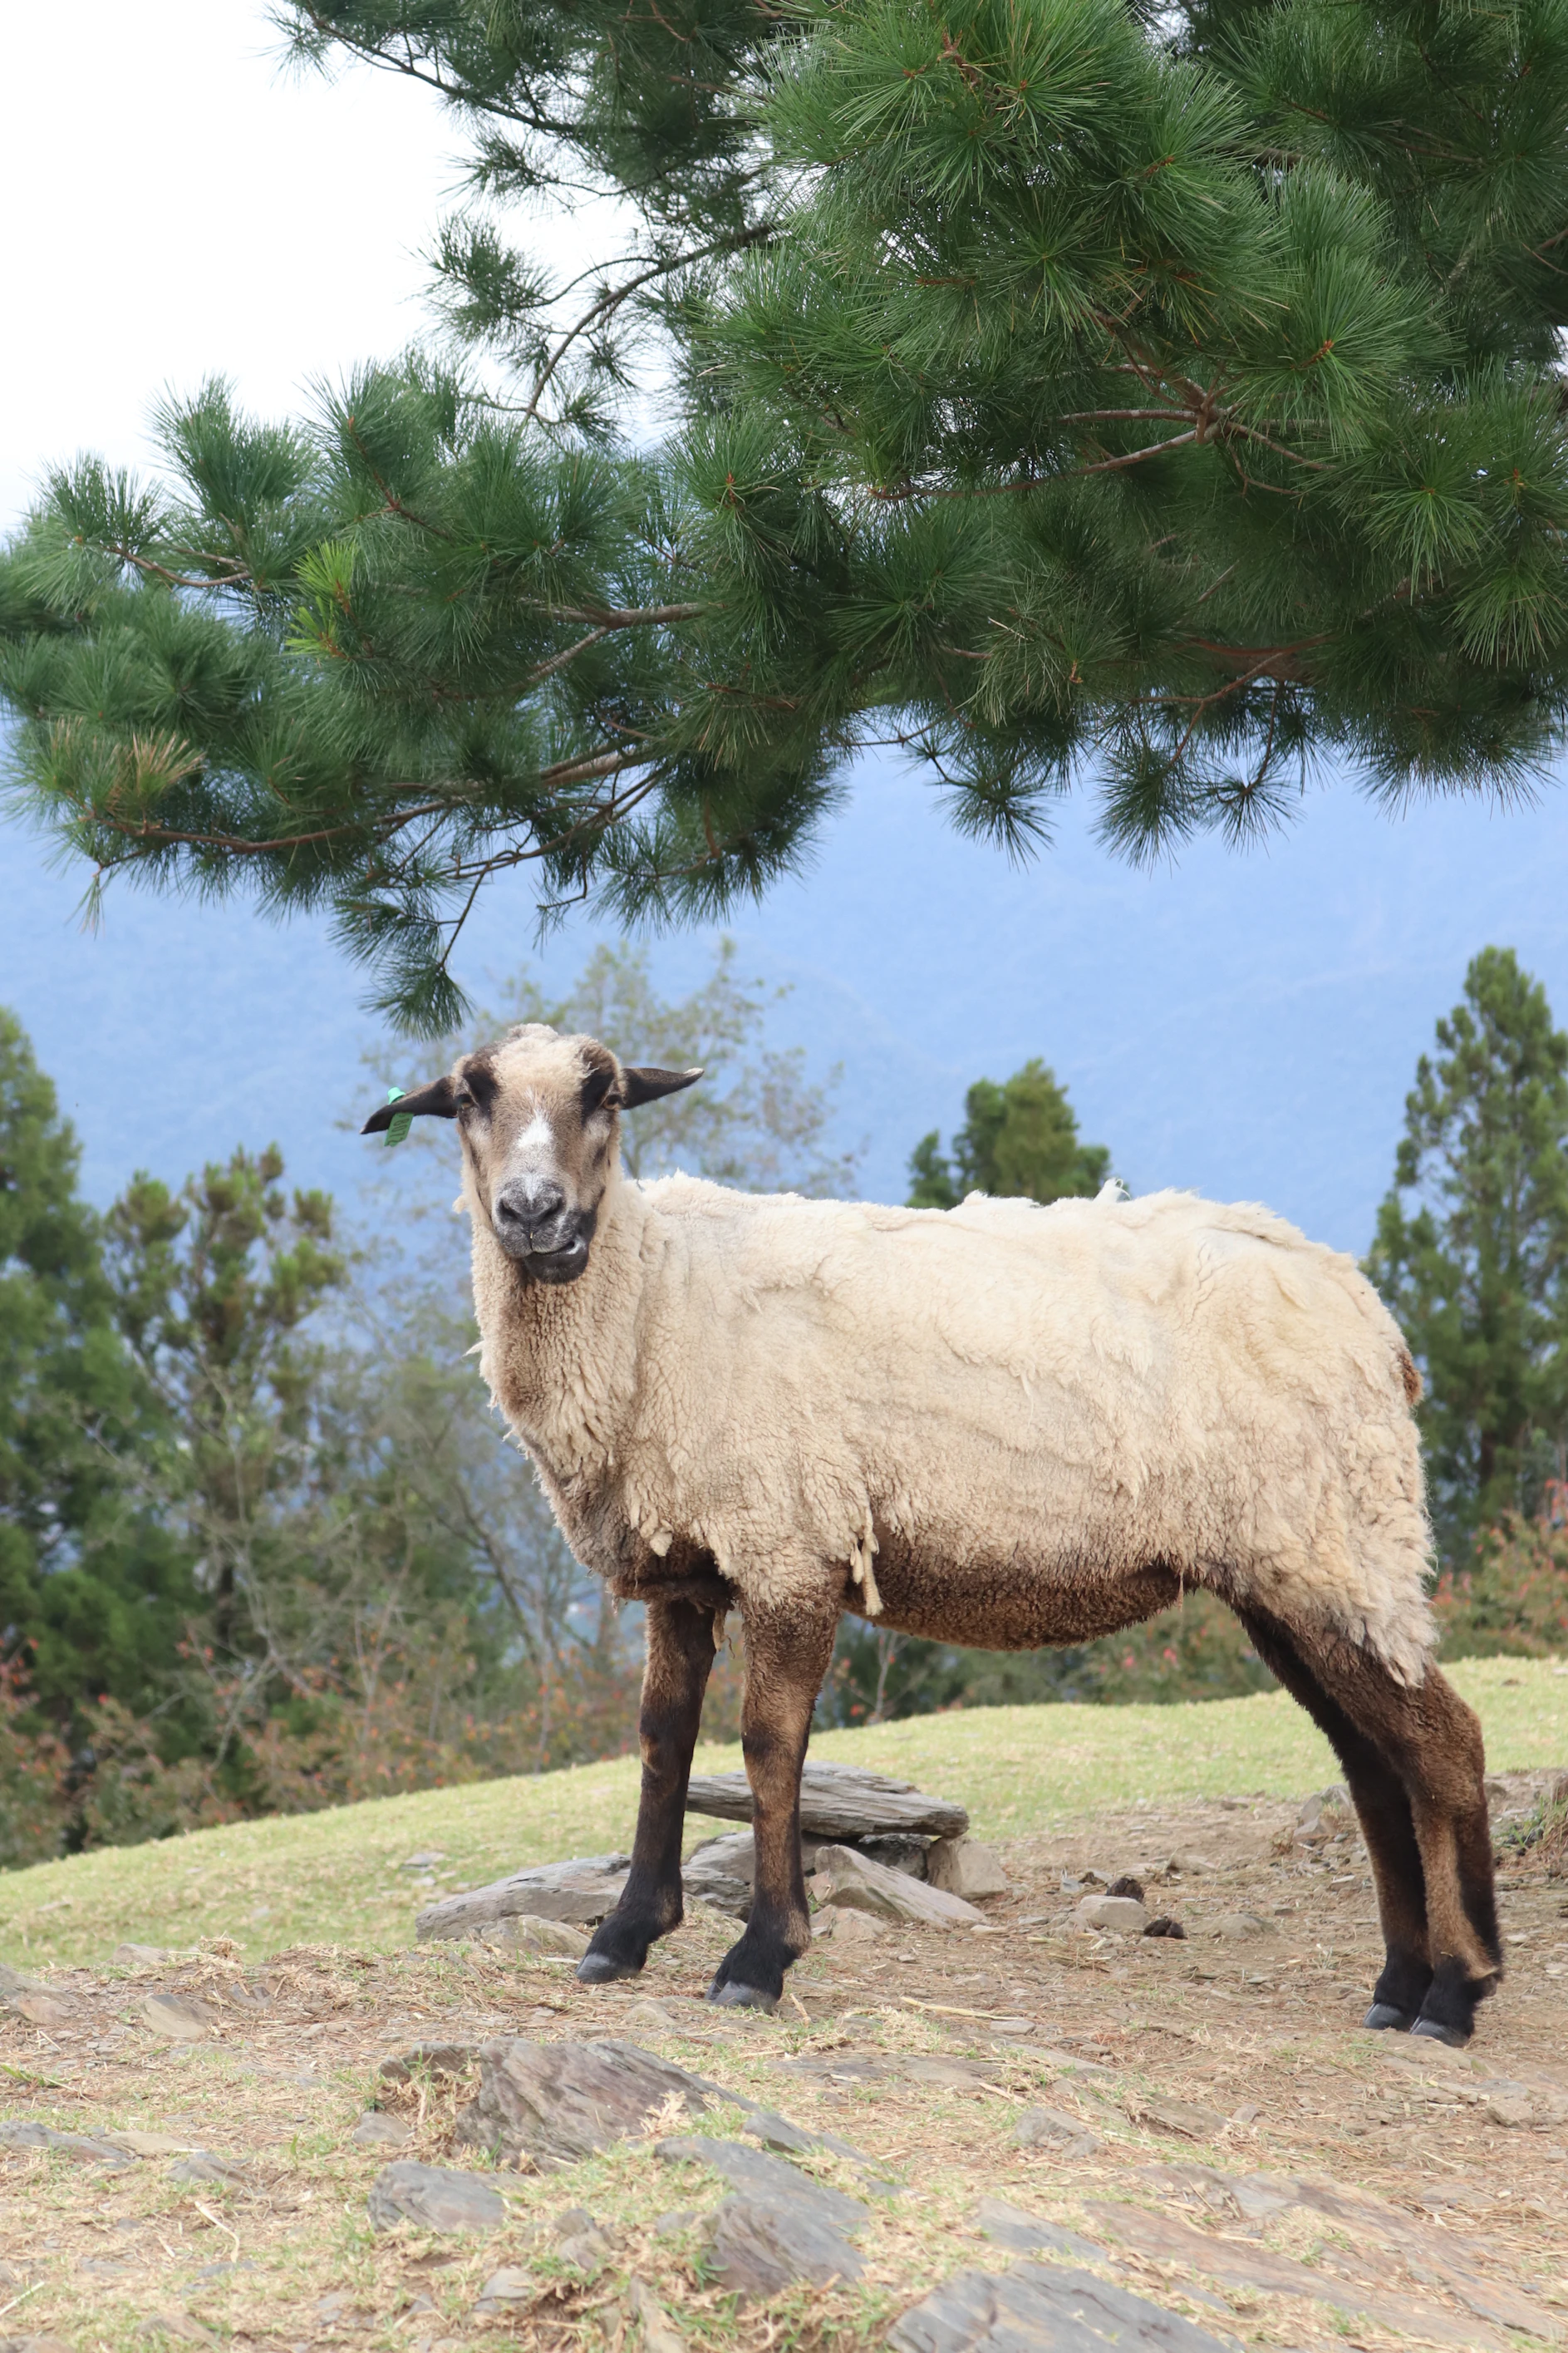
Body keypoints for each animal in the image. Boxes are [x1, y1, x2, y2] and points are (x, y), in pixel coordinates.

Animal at [363, 1022, 1500, 2041]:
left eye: (603, 1094)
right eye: (467, 1098)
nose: (533, 1213)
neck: (656, 1299)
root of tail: (1365, 1309)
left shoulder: (790, 1540)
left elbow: (770, 1744)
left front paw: (761, 1956)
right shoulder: (686, 1569)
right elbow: (661, 1739)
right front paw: (625, 1934)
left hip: (1337, 1537)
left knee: (1442, 1740)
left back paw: (1455, 1991)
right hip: (1283, 1567)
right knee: (1372, 1762)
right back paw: (1397, 1986)